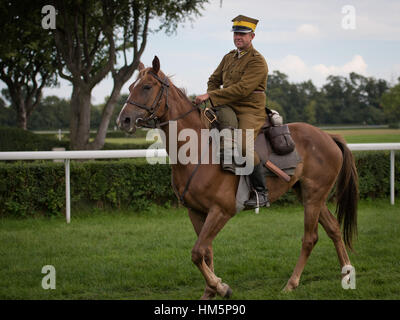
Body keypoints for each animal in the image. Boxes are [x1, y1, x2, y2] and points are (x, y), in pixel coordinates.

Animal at [117, 56, 358, 298]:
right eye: (130, 87)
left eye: (147, 87)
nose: (124, 120)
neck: (198, 151)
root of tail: (328, 137)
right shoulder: (196, 212)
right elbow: (206, 252)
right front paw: (211, 290)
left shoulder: (221, 211)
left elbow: (197, 252)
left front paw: (220, 287)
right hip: (309, 195)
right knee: (333, 229)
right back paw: (346, 273)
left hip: (313, 197)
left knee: (310, 238)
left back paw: (292, 283)